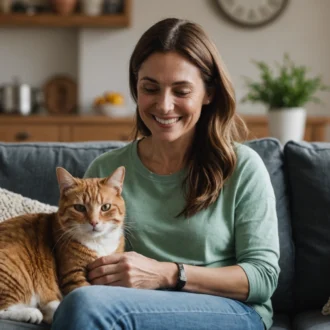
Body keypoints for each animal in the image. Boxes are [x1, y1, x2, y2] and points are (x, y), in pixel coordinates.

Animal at [0, 166, 125, 324]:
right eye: (79, 208)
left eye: (106, 207)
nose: (94, 222)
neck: (98, 242)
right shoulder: (72, 275)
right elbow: (87, 290)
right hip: (14, 271)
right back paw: (32, 313)